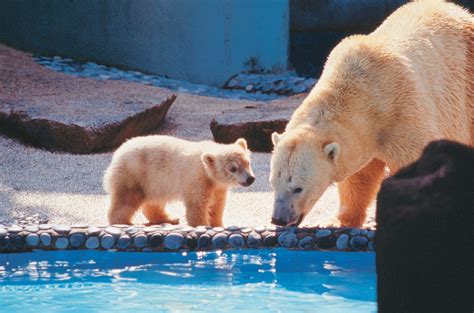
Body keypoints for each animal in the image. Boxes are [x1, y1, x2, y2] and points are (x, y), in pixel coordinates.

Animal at [268, 1, 472, 228]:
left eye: (298, 188)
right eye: (273, 182)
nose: (279, 219)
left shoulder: (403, 111)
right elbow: (359, 175)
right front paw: (340, 221)